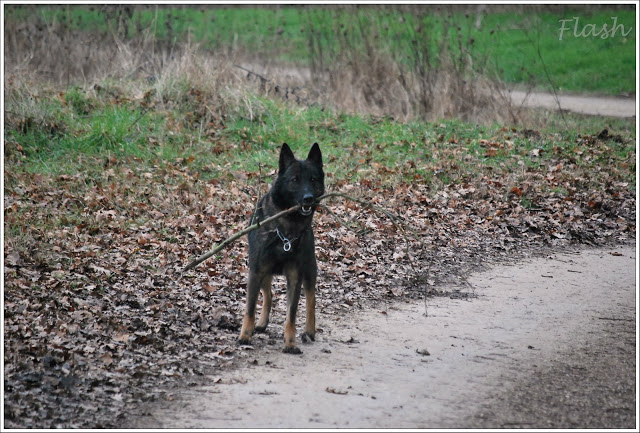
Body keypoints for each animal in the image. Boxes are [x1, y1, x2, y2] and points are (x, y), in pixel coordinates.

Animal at [238, 143, 324, 352]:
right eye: (294, 180)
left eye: (313, 179)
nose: (309, 198)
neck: (286, 229)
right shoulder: (256, 270)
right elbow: (250, 308)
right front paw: (245, 336)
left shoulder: (295, 275)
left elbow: (291, 314)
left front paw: (290, 343)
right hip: (264, 273)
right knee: (268, 294)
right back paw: (261, 323)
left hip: (309, 269)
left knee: (311, 298)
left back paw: (309, 330)